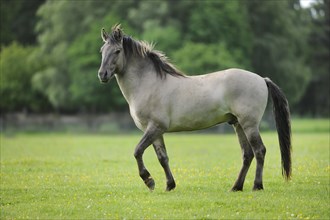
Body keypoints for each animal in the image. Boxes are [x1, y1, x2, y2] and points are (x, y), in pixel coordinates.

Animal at [98, 24, 292, 192]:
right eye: (102, 51)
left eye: (117, 51)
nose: (102, 74)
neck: (148, 83)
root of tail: (262, 79)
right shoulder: (155, 131)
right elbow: (163, 158)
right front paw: (169, 185)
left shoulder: (155, 127)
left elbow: (137, 151)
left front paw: (149, 181)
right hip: (238, 124)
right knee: (247, 154)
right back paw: (236, 187)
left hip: (249, 124)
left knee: (259, 151)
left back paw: (257, 186)